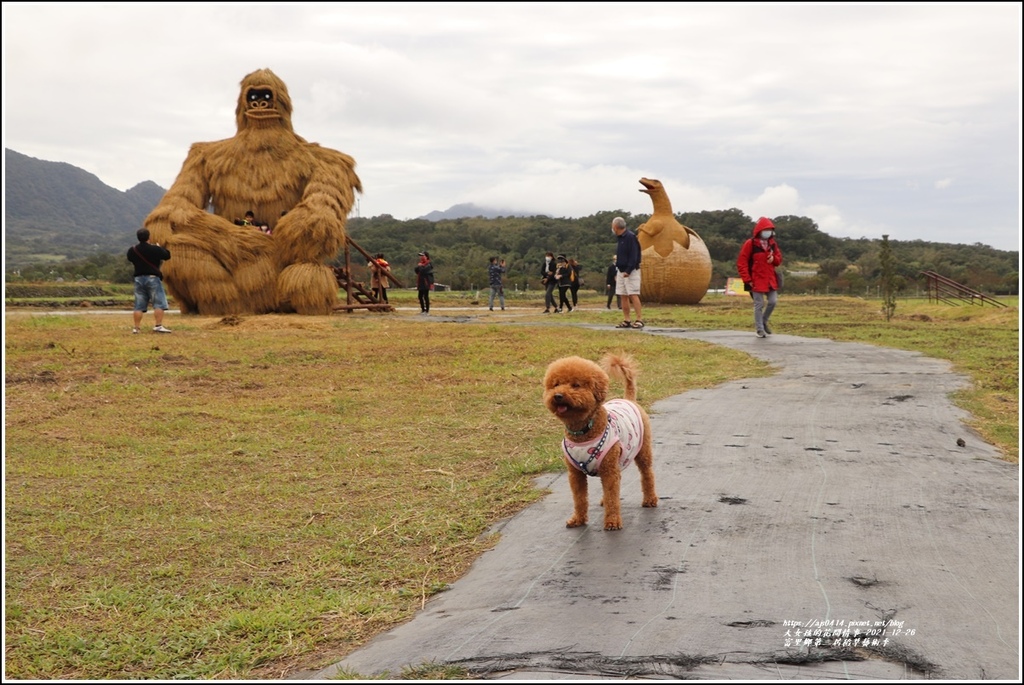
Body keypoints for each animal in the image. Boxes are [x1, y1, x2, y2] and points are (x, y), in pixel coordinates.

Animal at [540, 352, 659, 528]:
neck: (584, 431)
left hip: (642, 451)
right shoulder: (575, 474)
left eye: (576, 385)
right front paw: (578, 519)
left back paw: (650, 499)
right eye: (556, 384)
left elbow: (612, 496)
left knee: (647, 474)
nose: (558, 396)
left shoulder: (609, 469)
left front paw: (612, 521)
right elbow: (580, 499)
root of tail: (629, 399)